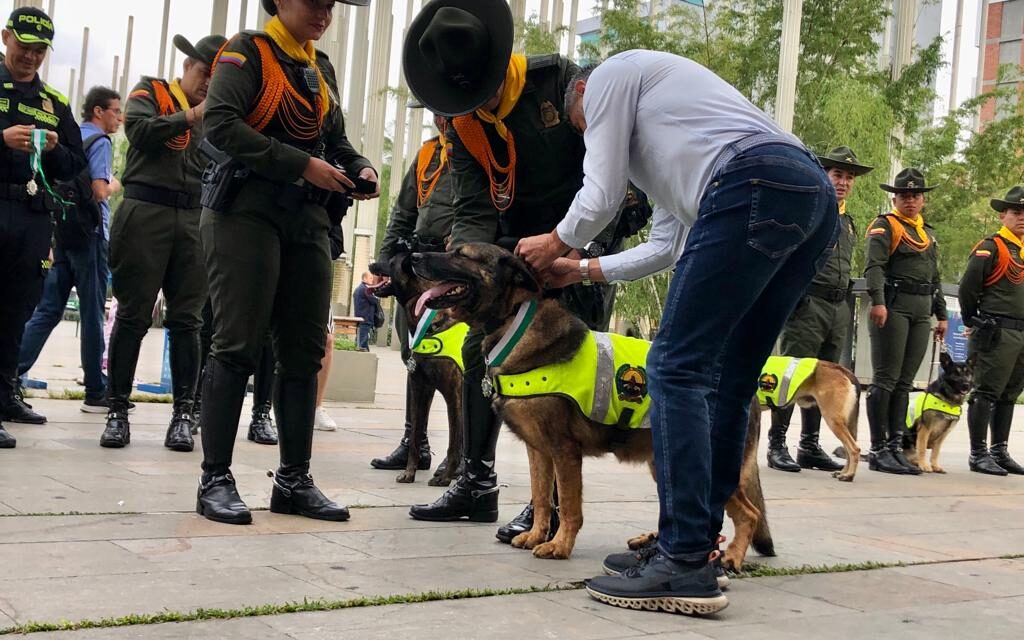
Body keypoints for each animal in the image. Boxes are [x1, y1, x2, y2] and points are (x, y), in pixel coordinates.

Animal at [368, 252, 464, 483]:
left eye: (390, 262)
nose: (370, 264)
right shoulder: (421, 388)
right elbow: (415, 435)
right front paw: (409, 472)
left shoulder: (454, 394)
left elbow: (454, 442)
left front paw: (446, 477)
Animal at [407, 243, 774, 569]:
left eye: (462, 254)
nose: (414, 255)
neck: (513, 322)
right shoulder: (539, 452)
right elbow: (542, 498)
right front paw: (537, 535)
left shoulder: (564, 451)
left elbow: (569, 506)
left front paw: (559, 546)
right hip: (662, 461)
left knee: (749, 513)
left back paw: (731, 558)